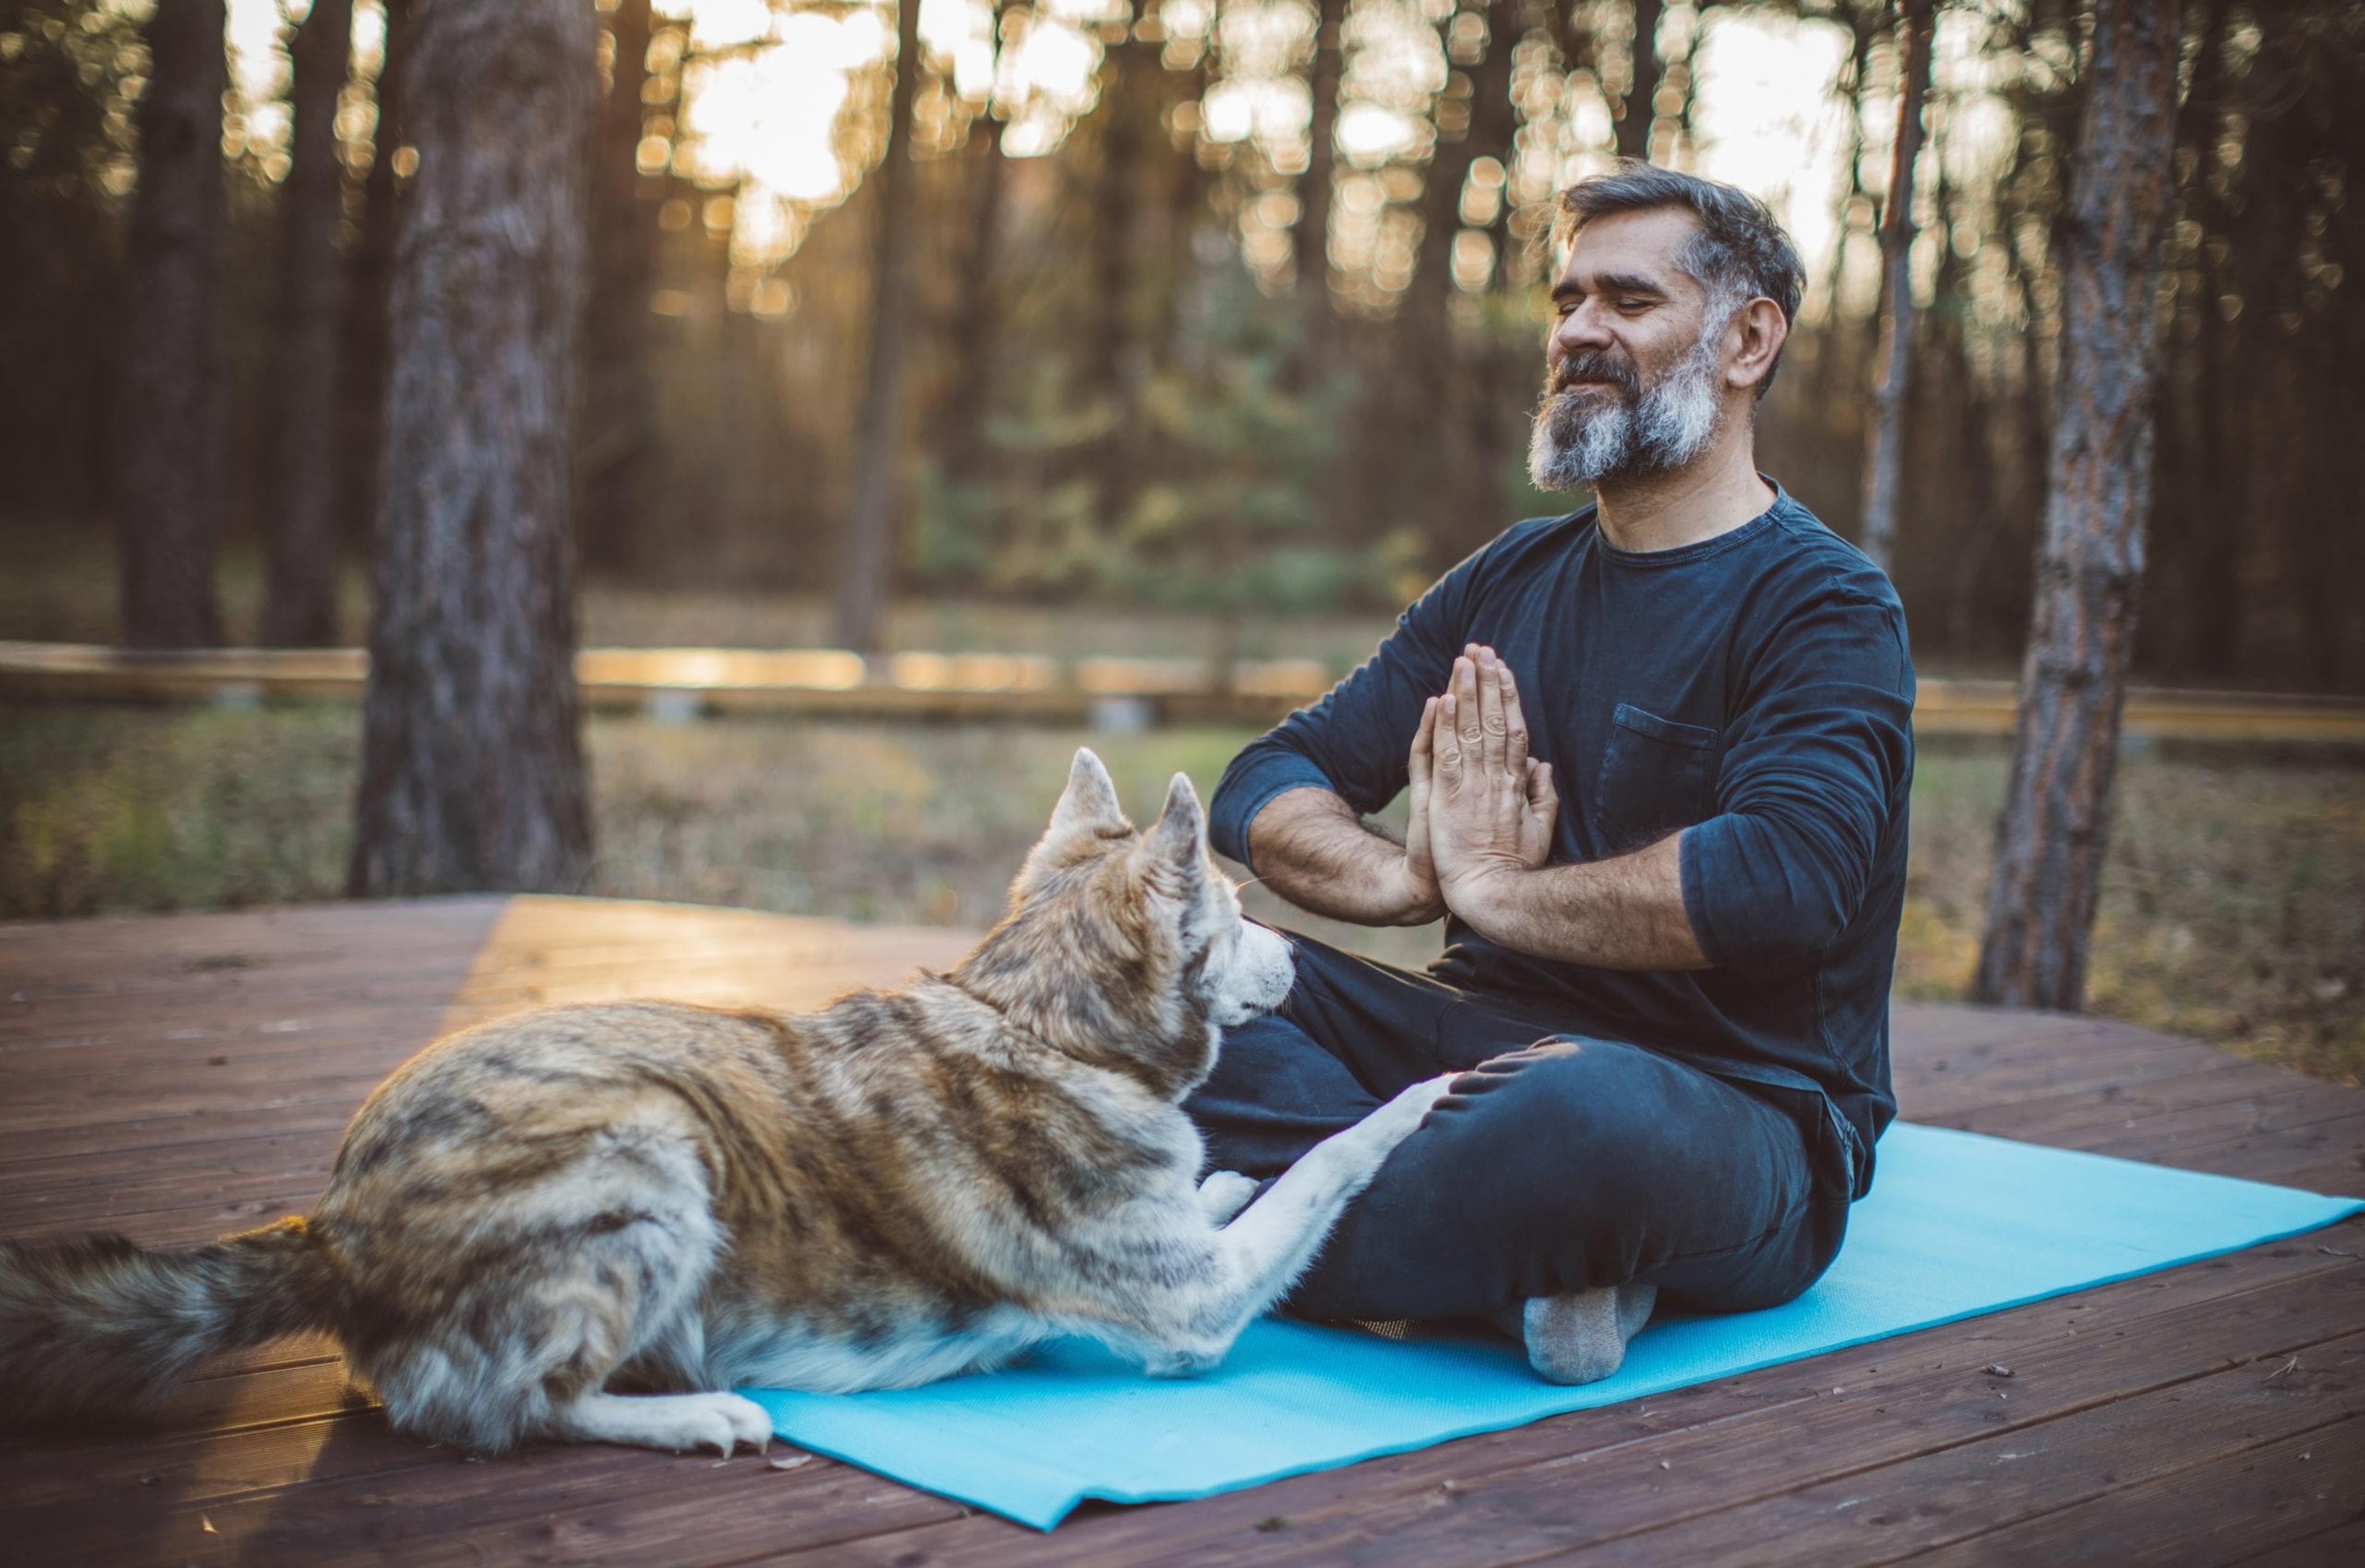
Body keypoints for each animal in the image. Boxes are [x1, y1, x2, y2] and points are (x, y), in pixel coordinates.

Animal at [0, 752, 1447, 1457]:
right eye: (1242, 912)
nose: (1296, 962)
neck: (1042, 1022)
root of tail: (334, 1224)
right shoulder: (1192, 1317)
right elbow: (1331, 1158)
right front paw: (1432, 1089)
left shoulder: (1185, 1254)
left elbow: (1239, 1188)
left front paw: (1221, 1172)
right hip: (651, 1160)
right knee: (513, 1414)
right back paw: (695, 1413)